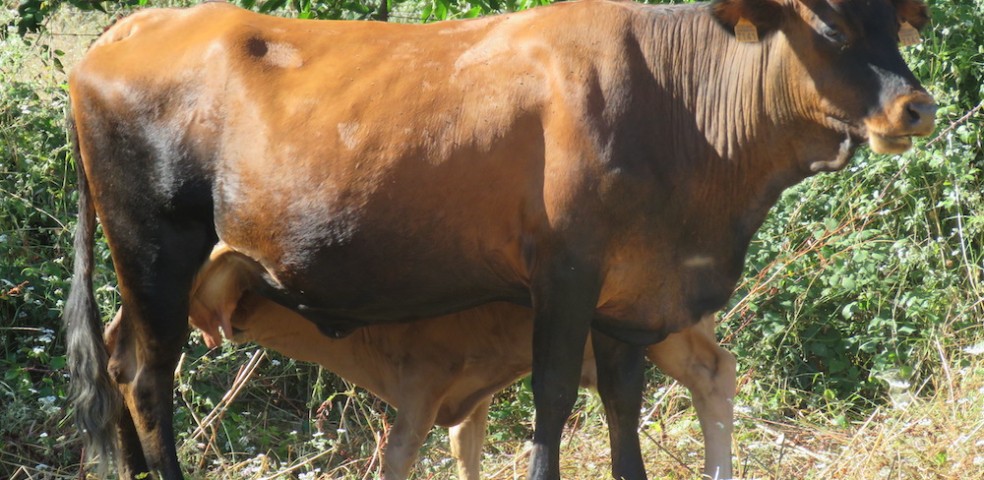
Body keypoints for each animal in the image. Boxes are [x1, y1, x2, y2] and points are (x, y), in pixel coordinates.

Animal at [179, 246, 732, 478]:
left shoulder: (421, 389)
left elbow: (398, 456)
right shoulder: (471, 398)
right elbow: (466, 453)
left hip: (667, 333)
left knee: (713, 373)